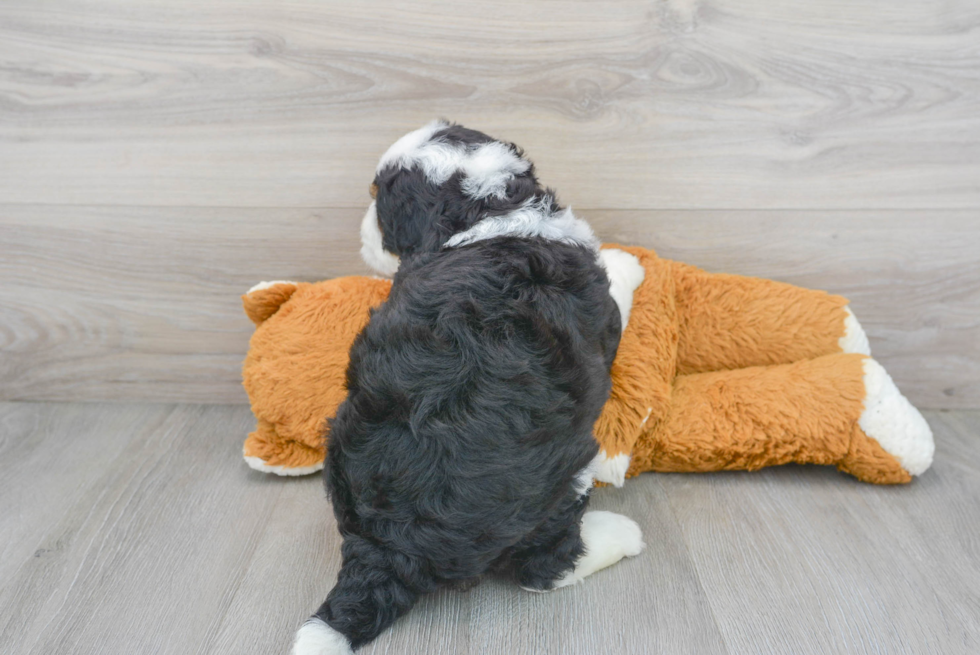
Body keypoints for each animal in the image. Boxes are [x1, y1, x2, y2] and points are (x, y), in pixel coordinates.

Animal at [290, 120, 652, 652]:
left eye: (379, 201)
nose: (362, 234)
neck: (485, 212)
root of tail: (386, 545)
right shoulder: (598, 305)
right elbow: (617, 289)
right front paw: (627, 261)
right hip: (562, 474)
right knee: (543, 565)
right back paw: (619, 536)